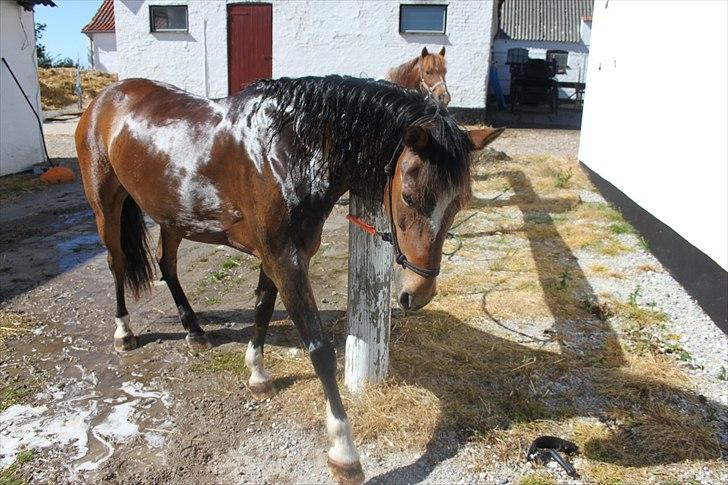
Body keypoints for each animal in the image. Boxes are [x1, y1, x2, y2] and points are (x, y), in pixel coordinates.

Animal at [75, 74, 506, 480]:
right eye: (409, 198)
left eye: (458, 203)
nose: (419, 292)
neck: (286, 150)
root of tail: (105, 97)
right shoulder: (286, 259)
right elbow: (319, 350)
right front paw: (344, 453)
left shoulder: (278, 257)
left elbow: (264, 308)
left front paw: (257, 375)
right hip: (105, 205)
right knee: (117, 263)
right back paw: (124, 333)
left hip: (173, 215)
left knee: (168, 266)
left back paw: (194, 331)